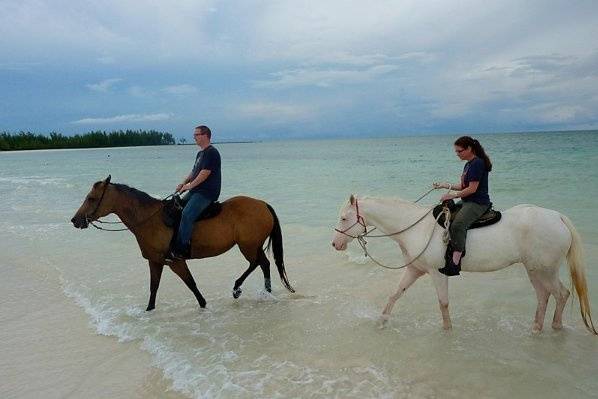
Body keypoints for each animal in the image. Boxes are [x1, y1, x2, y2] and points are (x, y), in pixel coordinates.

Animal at [71, 176, 296, 312]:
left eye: (91, 198)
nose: (75, 220)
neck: (150, 220)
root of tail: (263, 205)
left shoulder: (175, 261)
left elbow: (191, 283)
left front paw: (203, 304)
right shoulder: (155, 261)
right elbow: (154, 287)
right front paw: (149, 310)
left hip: (248, 246)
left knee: (258, 263)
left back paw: (239, 288)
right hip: (252, 246)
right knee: (263, 263)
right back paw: (262, 292)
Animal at [332, 194, 598, 334]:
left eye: (344, 218)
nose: (335, 243)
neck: (416, 227)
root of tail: (558, 217)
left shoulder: (438, 274)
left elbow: (443, 303)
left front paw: (447, 331)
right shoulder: (415, 270)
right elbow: (395, 294)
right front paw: (381, 321)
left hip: (546, 270)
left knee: (561, 294)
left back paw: (554, 327)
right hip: (534, 270)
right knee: (544, 296)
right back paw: (536, 328)